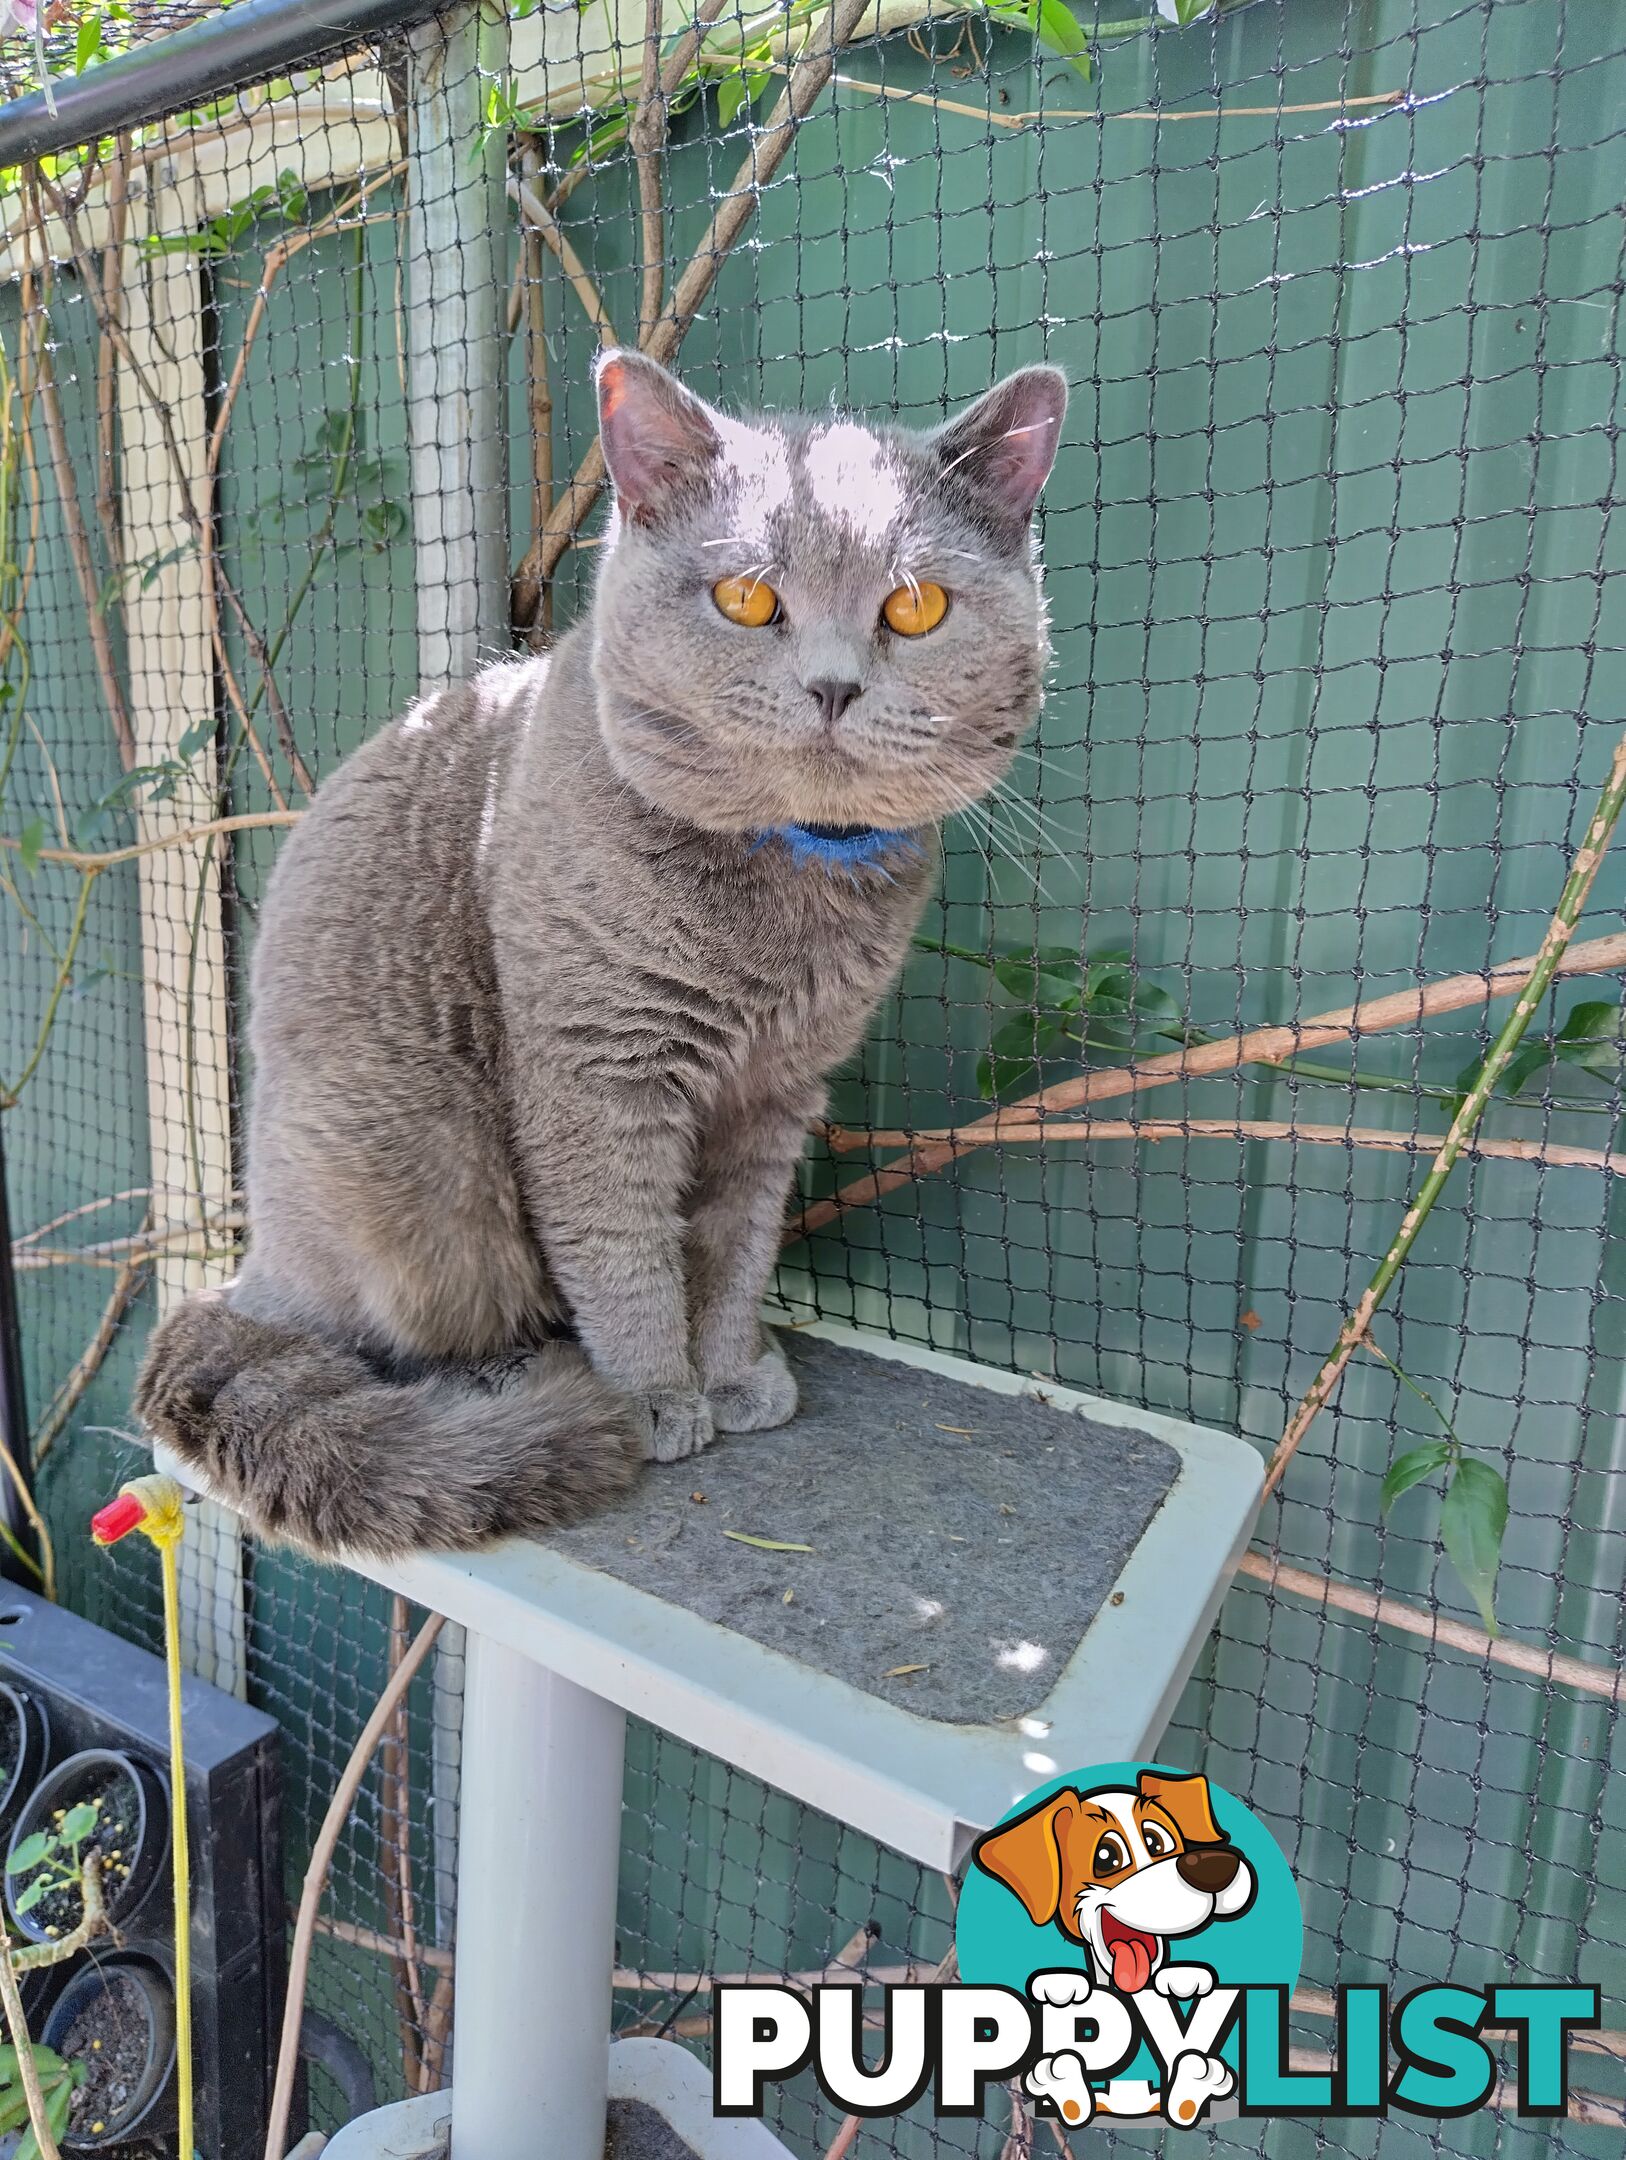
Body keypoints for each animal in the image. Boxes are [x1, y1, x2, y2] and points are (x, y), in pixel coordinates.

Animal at [139, 349, 1066, 1555]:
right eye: (745, 598)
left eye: (916, 607)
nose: (833, 685)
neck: (785, 899)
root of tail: (249, 1270)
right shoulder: (598, 1070)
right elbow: (622, 1245)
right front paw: (654, 1394)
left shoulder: (780, 1094)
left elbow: (733, 1249)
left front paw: (732, 1369)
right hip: (415, 1156)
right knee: (382, 1327)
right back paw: (512, 1379)